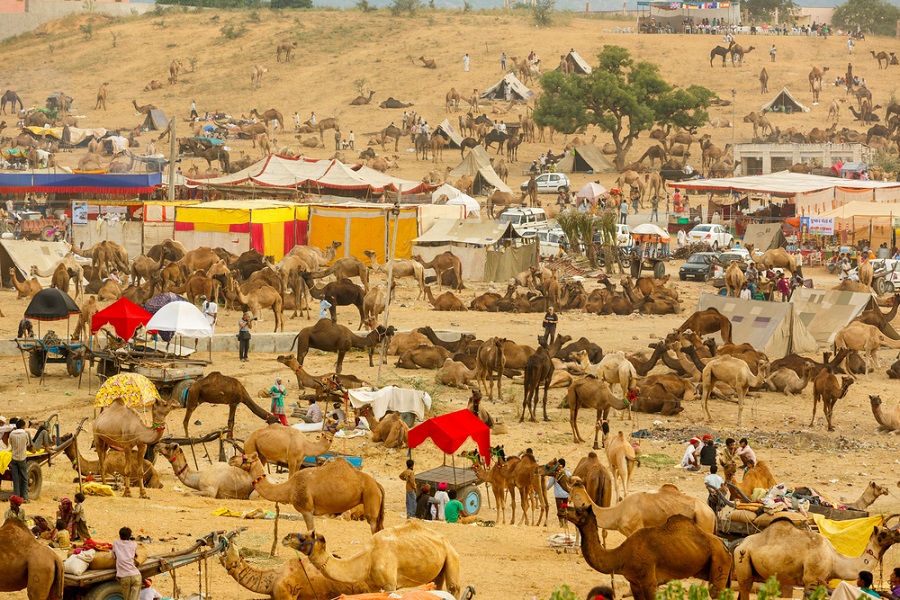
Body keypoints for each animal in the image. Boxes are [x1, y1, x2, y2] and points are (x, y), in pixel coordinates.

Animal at [235, 454, 385, 533]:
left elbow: (311, 532)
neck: (289, 487)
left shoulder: (306, 510)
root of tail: (377, 485)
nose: (231, 459)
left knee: (373, 526)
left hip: (370, 497)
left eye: (245, 458)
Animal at [284, 520, 460, 595]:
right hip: (438, 568)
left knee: (454, 588)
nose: (285, 538)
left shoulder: (390, 585)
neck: (367, 559)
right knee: (438, 585)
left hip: (452, 557)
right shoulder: (374, 586)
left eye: (303, 538)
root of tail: (445, 540)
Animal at [568, 506, 731, 600]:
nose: (563, 509)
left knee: (715, 593)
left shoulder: (649, 582)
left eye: (578, 511)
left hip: (719, 562)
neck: (622, 556)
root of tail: (725, 546)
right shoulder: (634, 582)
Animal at [733, 521, 900, 600]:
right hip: (743, 562)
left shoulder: (820, 582)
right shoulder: (811, 580)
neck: (834, 560)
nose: (898, 534)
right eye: (884, 533)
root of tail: (740, 544)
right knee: (745, 587)